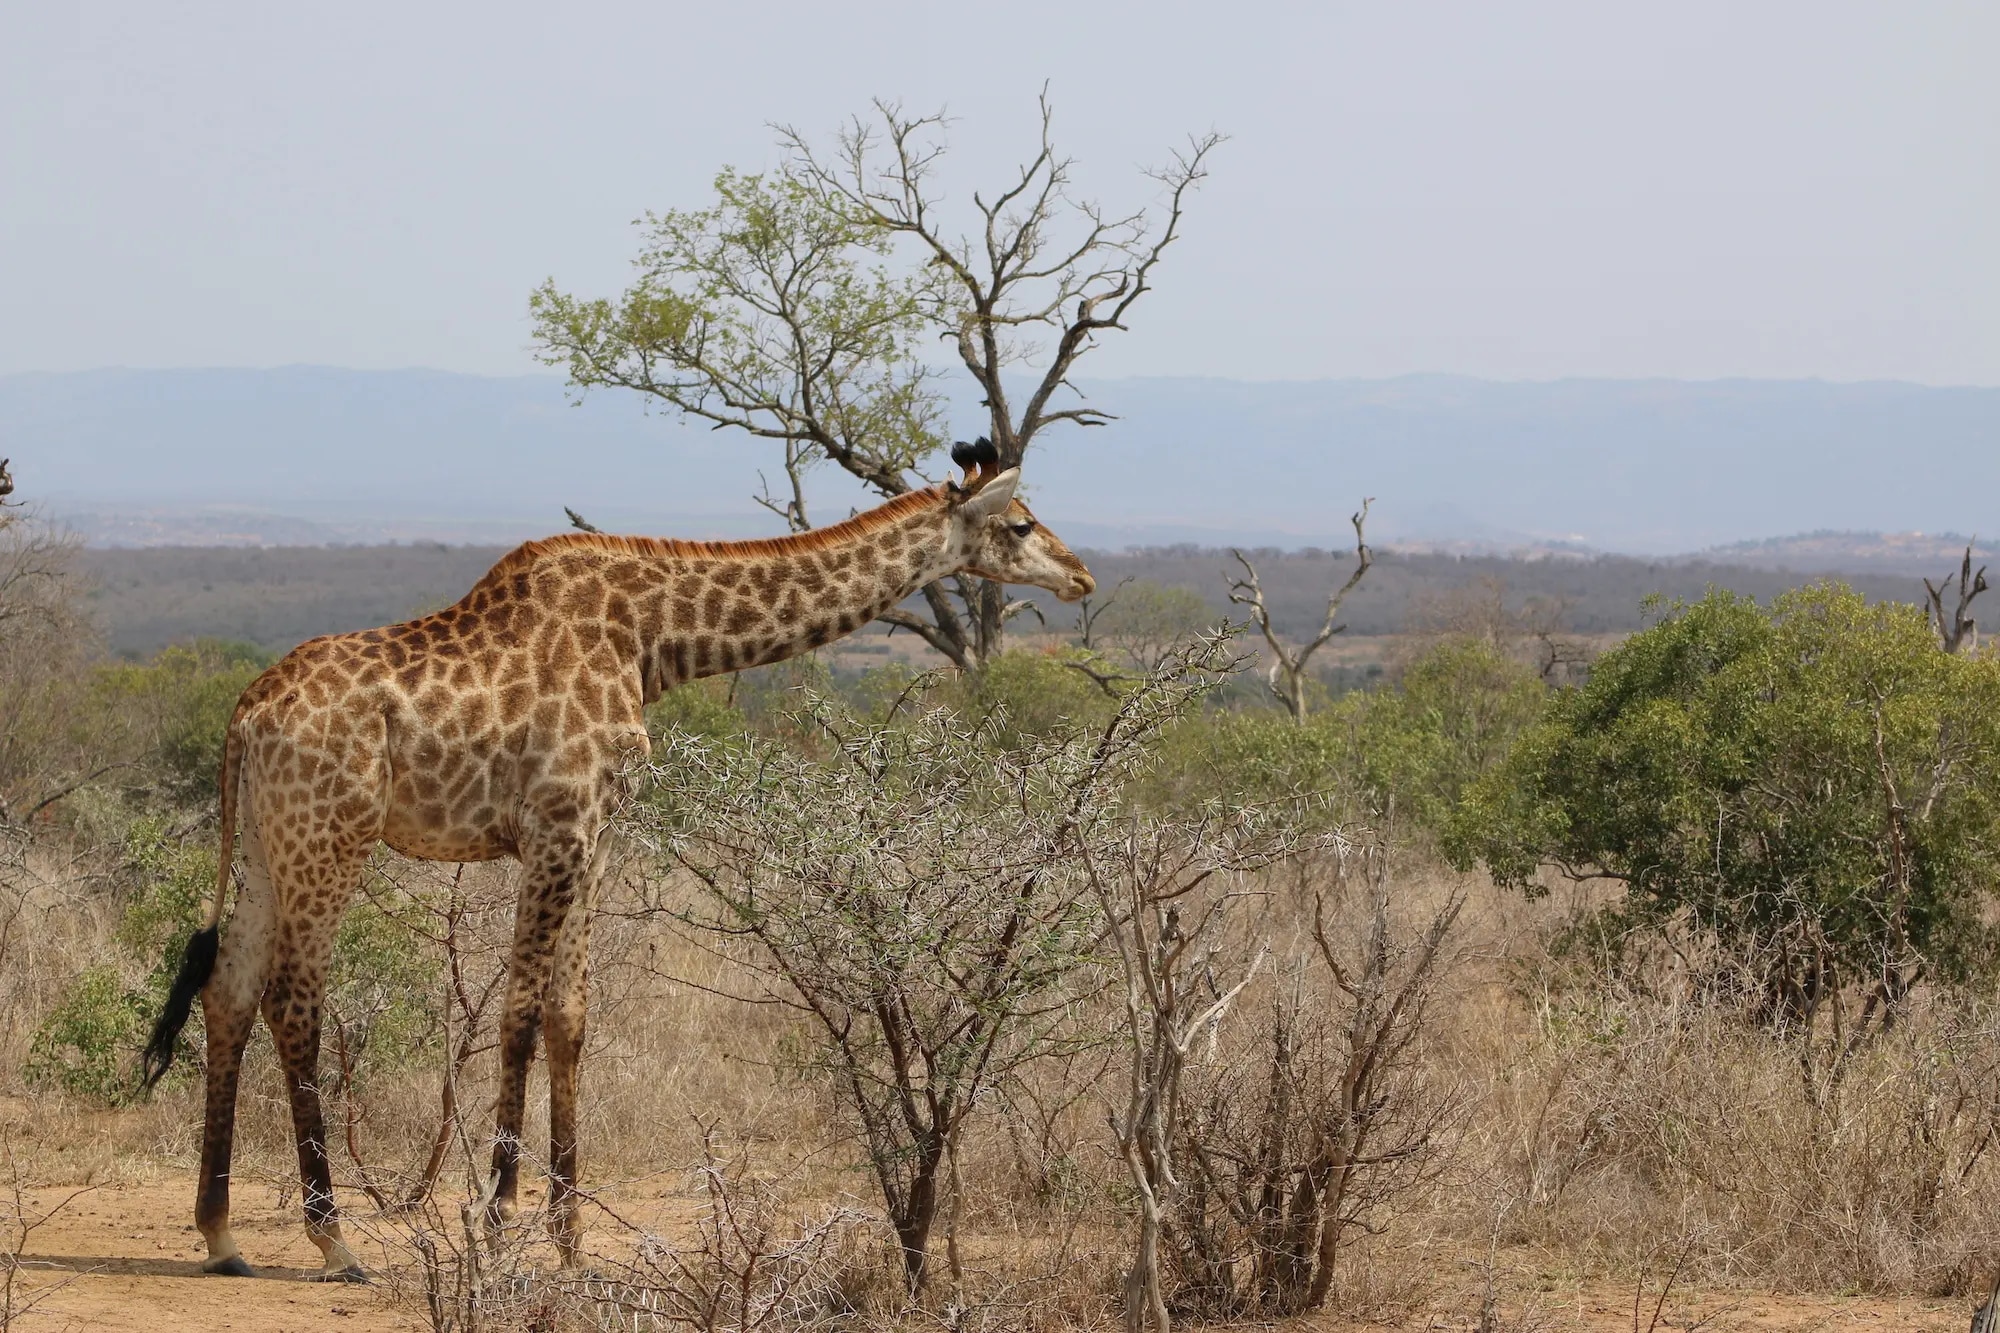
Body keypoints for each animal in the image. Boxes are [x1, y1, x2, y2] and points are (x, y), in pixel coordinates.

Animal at [145, 444, 1096, 1280]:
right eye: (1019, 523)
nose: (1082, 576)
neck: (651, 637)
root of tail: (245, 715)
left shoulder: (598, 834)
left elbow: (570, 1017)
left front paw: (568, 1241)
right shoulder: (556, 827)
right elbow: (520, 1013)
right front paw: (499, 1221)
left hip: (267, 843)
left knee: (228, 992)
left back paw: (220, 1234)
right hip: (331, 838)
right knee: (293, 1002)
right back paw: (334, 1242)